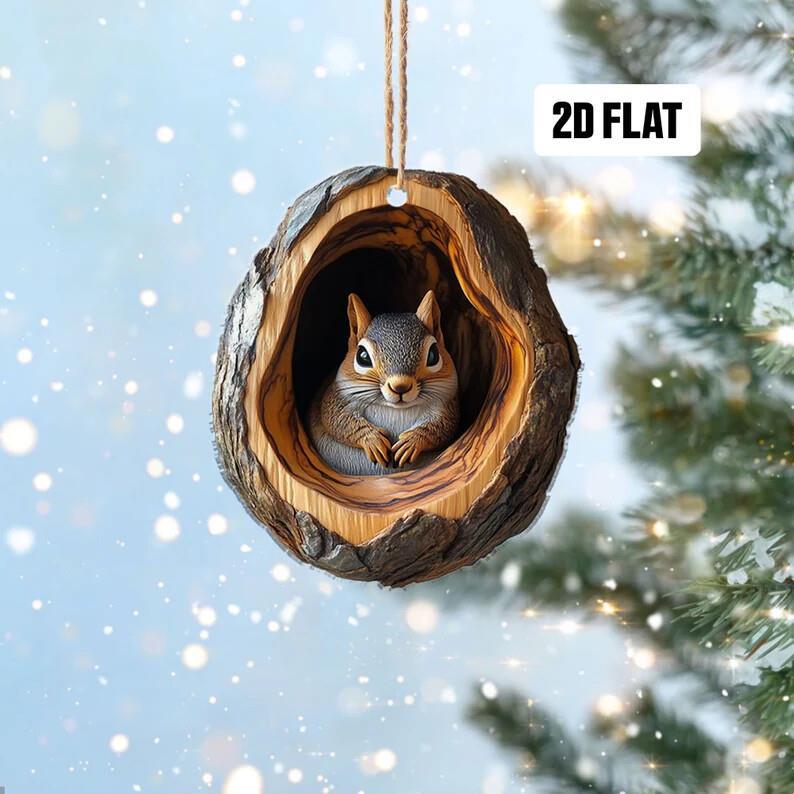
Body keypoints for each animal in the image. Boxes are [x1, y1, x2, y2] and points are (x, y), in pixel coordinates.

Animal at [309, 290, 460, 476]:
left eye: (433, 355)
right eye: (362, 356)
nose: (400, 386)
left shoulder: (444, 405)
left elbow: (444, 426)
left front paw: (411, 441)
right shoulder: (337, 397)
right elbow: (336, 419)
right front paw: (372, 439)